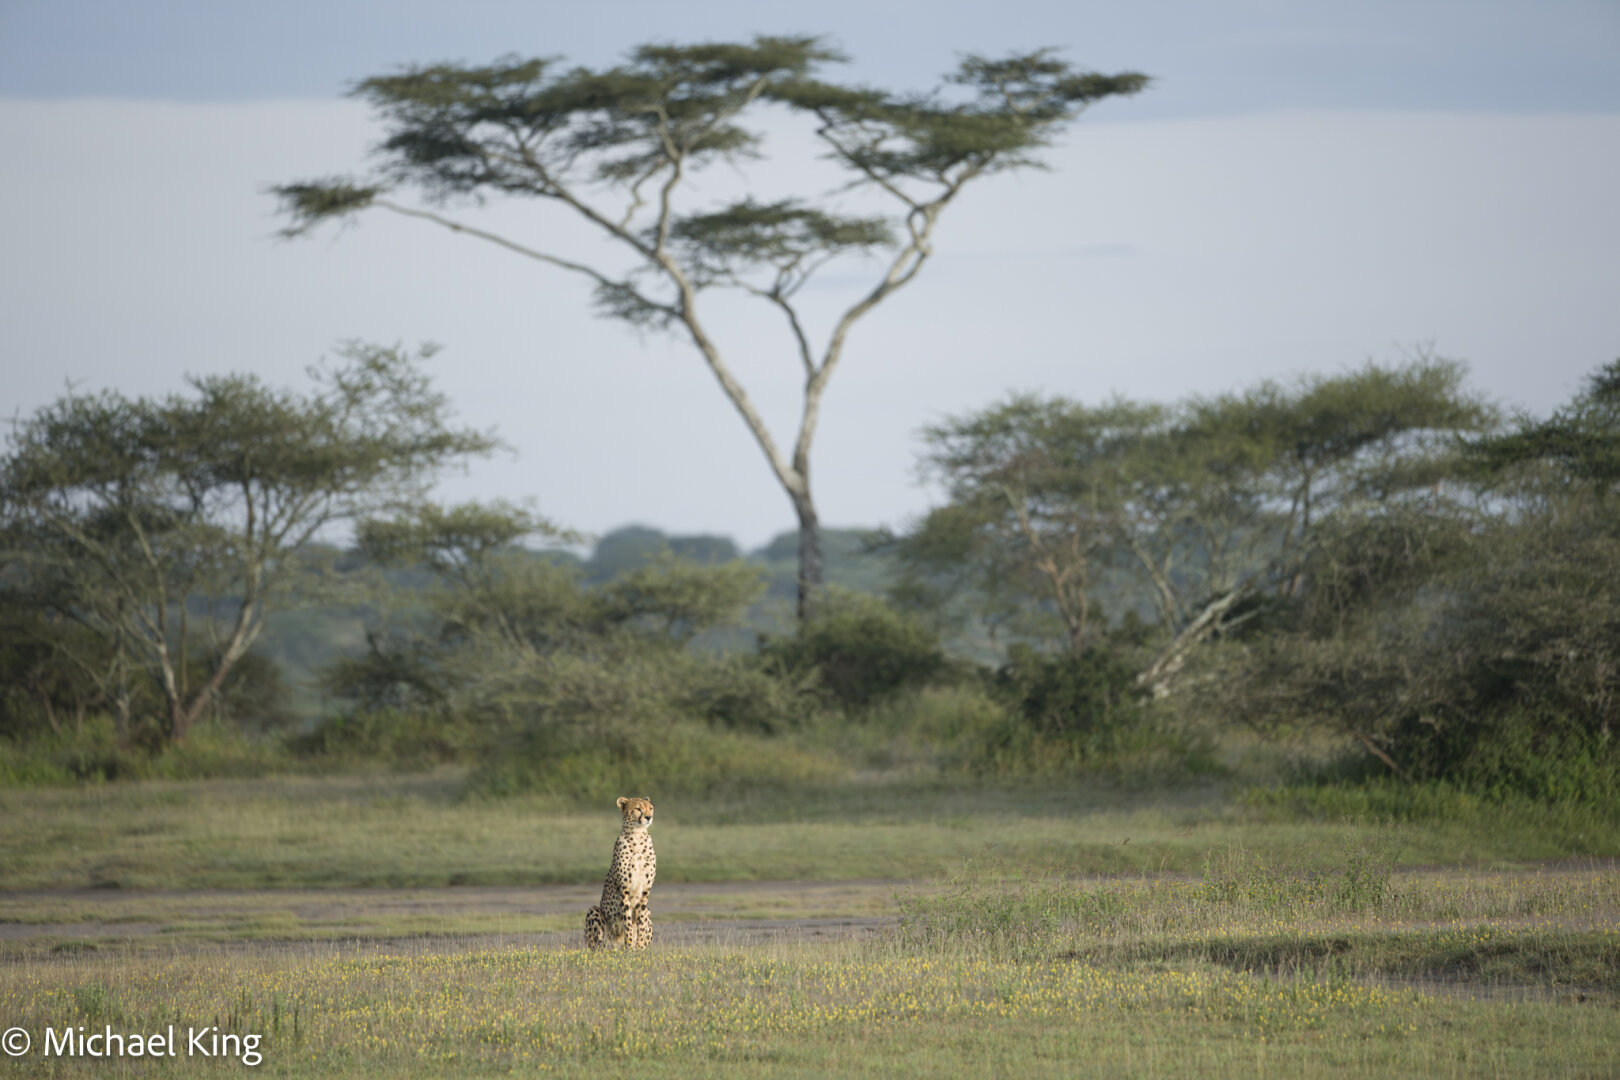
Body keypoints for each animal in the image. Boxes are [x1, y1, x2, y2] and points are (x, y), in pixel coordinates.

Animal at [583, 796, 657, 950]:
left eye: (651, 808)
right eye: (638, 809)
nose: (649, 817)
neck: (638, 836)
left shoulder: (645, 891)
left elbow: (641, 922)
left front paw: (639, 947)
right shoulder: (624, 890)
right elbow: (627, 921)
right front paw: (629, 947)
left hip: (648, 909)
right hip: (594, 913)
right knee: (598, 946)